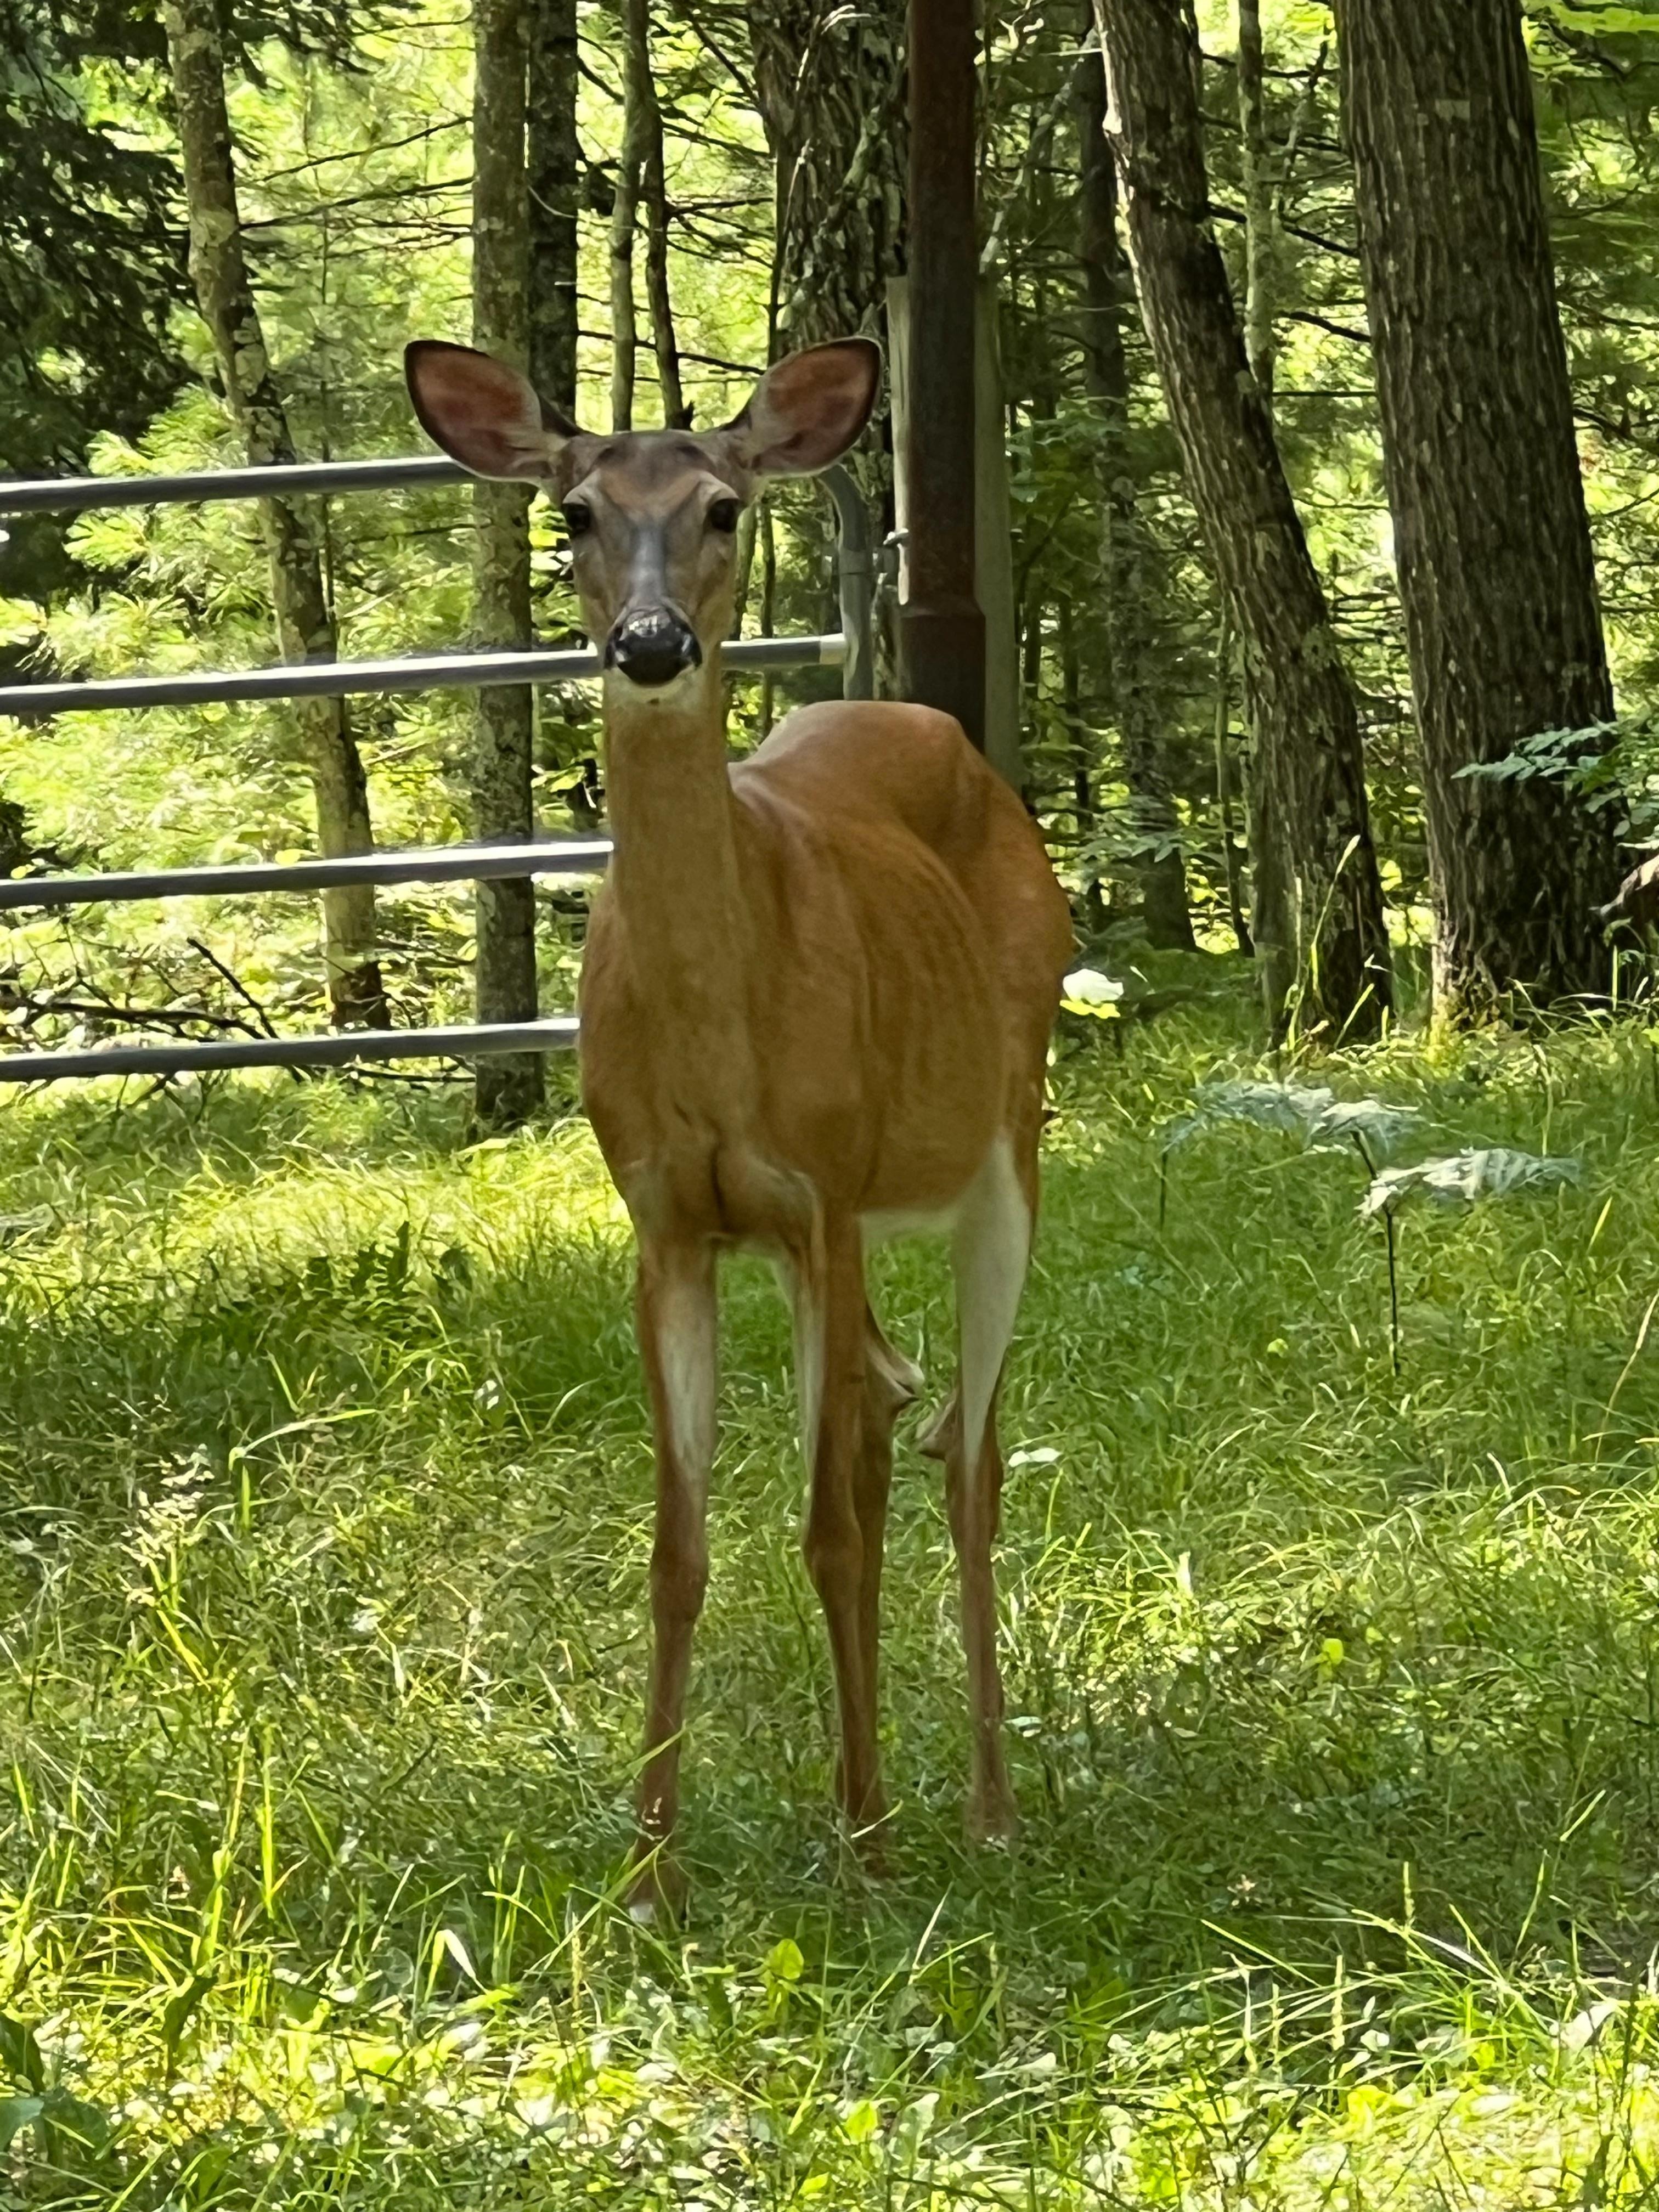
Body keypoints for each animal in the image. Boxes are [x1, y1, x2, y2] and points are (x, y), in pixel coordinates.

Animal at [405, 334, 1073, 1911]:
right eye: (575, 513)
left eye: (722, 506)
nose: (651, 646)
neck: (724, 1023)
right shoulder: (673, 1216)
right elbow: (679, 1546)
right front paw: (651, 1870)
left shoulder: (821, 1181)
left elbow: (824, 1527)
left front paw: (870, 1847)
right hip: (835, 1224)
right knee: (894, 1410)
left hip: (1004, 1135)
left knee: (968, 1453)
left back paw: (987, 1807)